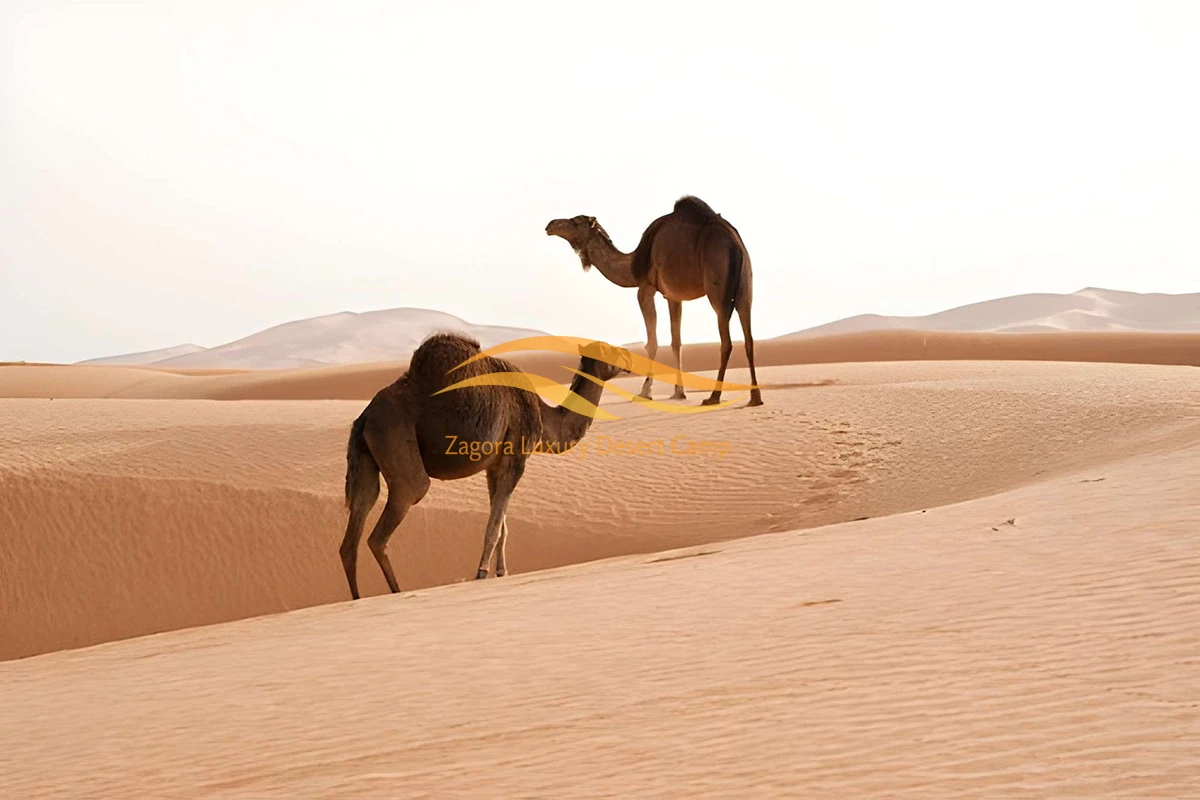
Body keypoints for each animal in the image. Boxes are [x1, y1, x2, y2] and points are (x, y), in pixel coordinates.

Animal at [340, 331, 632, 599]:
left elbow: (502, 524)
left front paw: (501, 572)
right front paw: (481, 573)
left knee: (353, 533)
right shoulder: (516, 457)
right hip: (397, 441)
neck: (541, 414)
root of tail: (364, 417)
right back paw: (396, 592)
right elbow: (494, 525)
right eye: (612, 353)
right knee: (389, 520)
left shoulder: (495, 465)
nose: (629, 358)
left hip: (367, 456)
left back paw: (357, 598)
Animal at [546, 195, 762, 407]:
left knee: (726, 341)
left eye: (576, 221)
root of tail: (735, 245)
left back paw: (713, 396)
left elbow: (652, 343)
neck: (634, 265)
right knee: (749, 338)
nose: (550, 224)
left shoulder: (646, 289)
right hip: (746, 288)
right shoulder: (673, 296)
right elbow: (676, 342)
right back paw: (755, 397)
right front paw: (678, 392)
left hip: (717, 289)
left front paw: (645, 391)